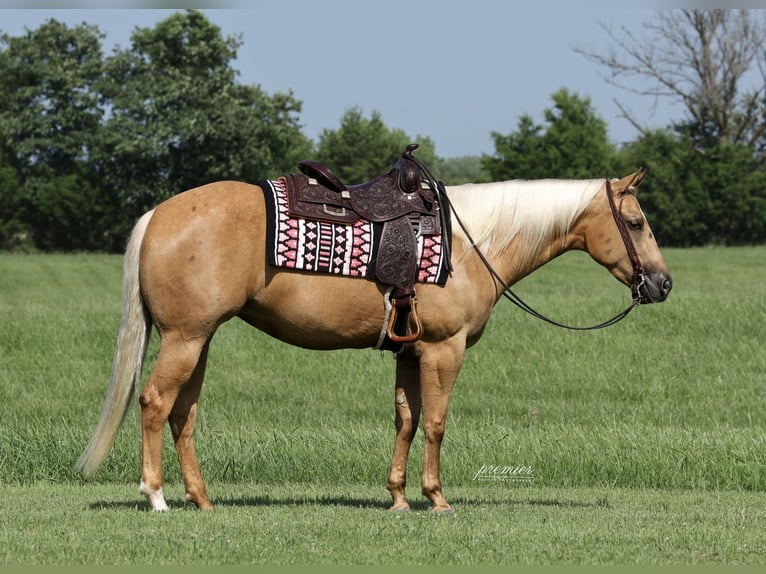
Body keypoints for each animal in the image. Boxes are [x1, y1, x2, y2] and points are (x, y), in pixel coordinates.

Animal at [75, 167, 672, 513]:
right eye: (636, 223)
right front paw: (437, 499)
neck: (470, 243)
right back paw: (156, 497)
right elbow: (435, 423)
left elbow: (406, 420)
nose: (662, 284)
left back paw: (201, 500)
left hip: (198, 340)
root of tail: (159, 214)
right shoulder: (444, 349)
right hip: (184, 338)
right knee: (155, 403)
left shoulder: (410, 351)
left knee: (183, 415)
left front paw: (399, 498)